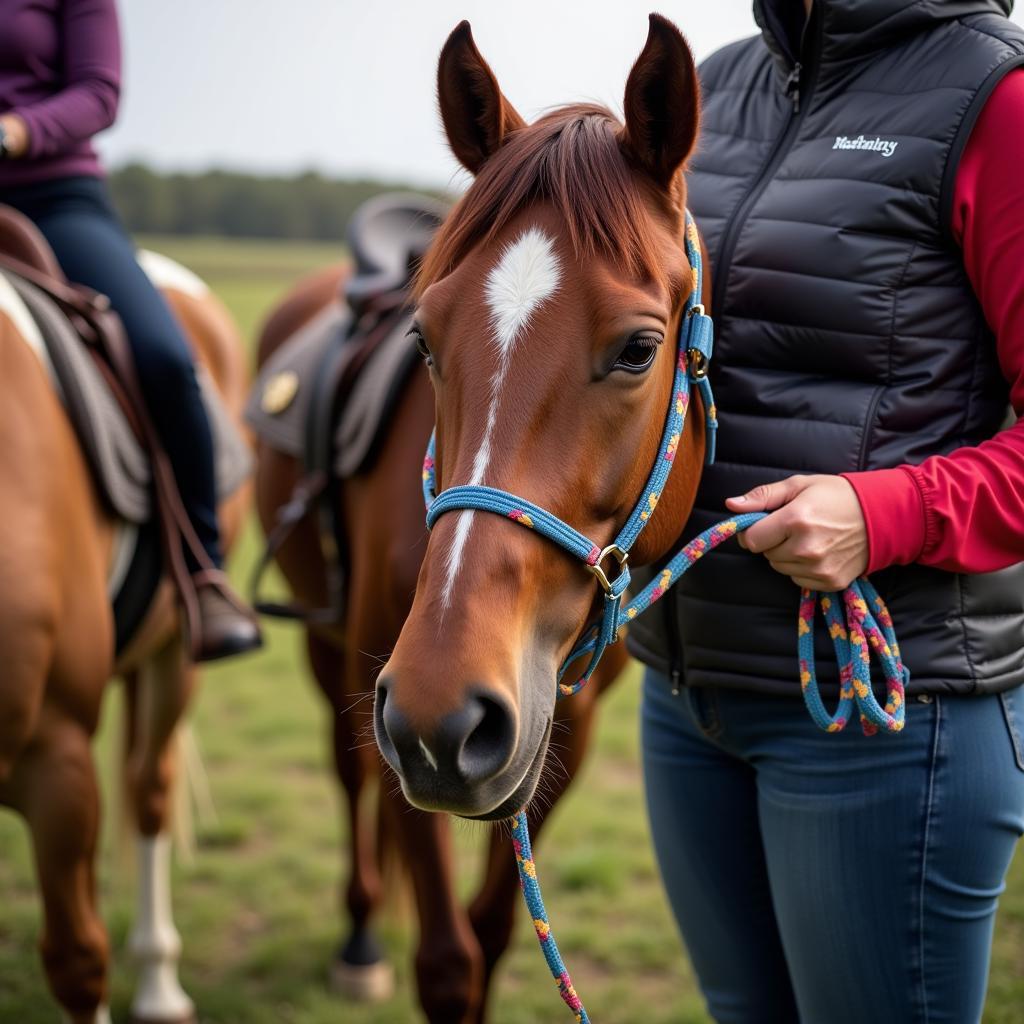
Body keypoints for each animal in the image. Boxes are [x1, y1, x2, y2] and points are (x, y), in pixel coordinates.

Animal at [251, 258, 626, 1015]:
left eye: (638, 350)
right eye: (423, 341)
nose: (445, 705)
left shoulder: (569, 724)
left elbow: (491, 928)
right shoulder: (398, 714)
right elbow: (449, 962)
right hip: (329, 646)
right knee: (348, 771)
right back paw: (360, 938)